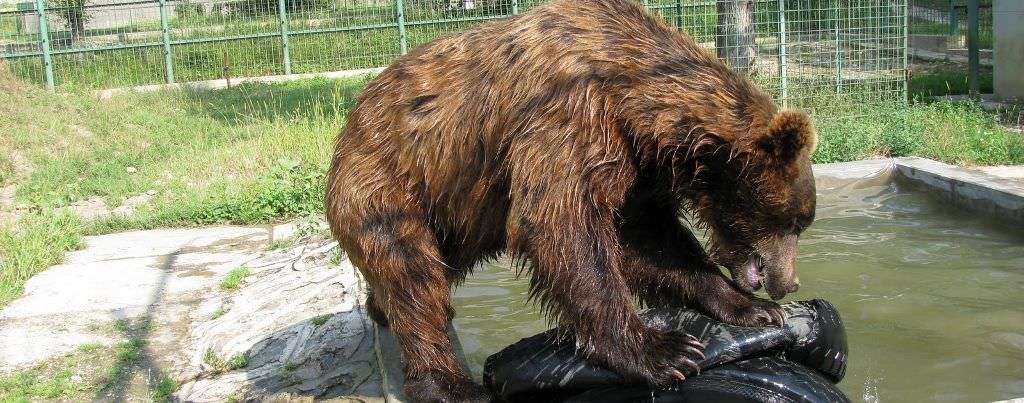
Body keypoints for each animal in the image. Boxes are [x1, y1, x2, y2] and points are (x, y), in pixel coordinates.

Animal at [325, 1, 815, 400]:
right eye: (794, 221)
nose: (790, 283)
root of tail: (349, 123)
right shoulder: (569, 116)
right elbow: (564, 228)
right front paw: (663, 351)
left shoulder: (633, 164)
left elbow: (652, 241)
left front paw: (753, 309)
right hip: (386, 186)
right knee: (413, 277)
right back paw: (449, 383)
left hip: (452, 216)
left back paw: (378, 308)